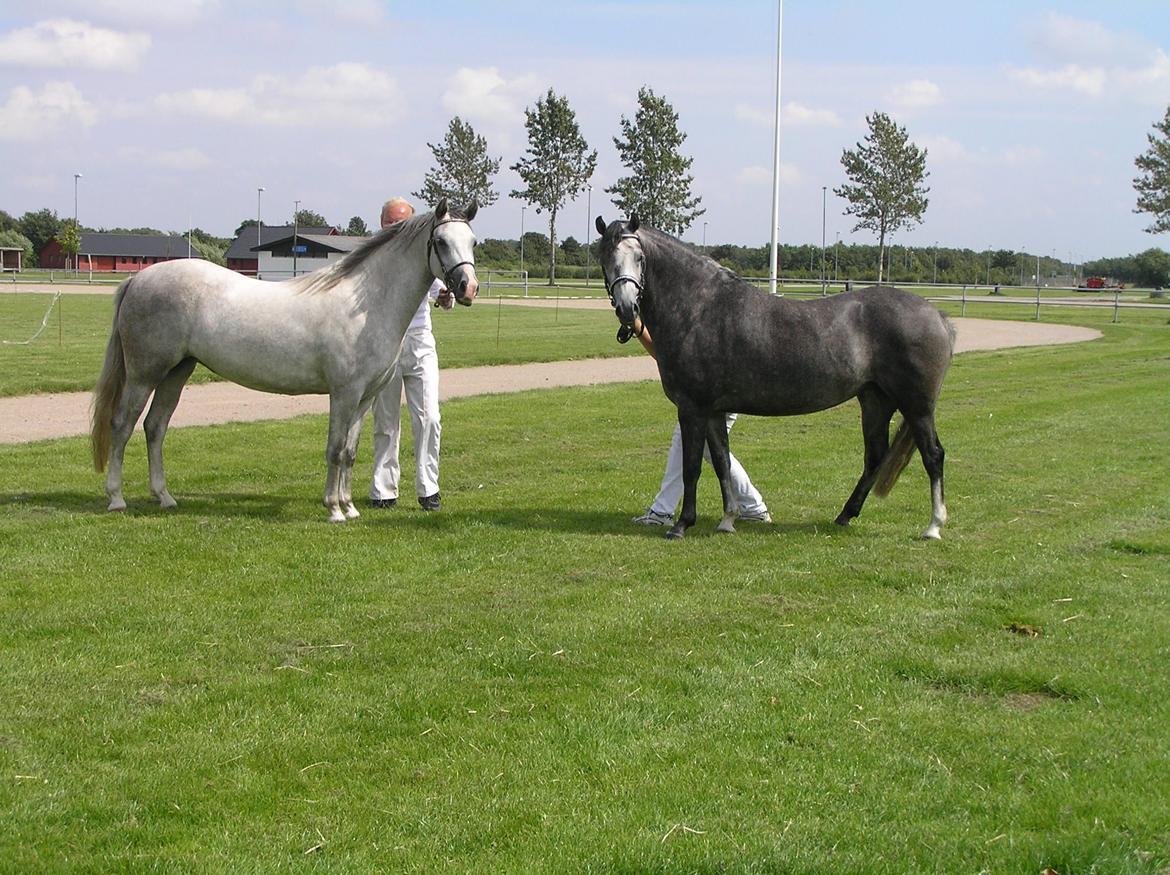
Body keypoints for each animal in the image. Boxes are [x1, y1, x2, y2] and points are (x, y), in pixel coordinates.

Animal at [91, 199, 480, 522]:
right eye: (441, 242)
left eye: (473, 241)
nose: (468, 287)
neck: (365, 303)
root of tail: (138, 279)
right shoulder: (344, 394)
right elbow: (335, 450)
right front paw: (334, 509)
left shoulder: (364, 398)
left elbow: (351, 452)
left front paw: (350, 507)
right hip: (144, 375)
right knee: (122, 425)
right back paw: (116, 499)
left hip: (176, 372)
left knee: (155, 427)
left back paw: (165, 497)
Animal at [596, 214, 954, 541]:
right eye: (605, 258)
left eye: (639, 258)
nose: (627, 309)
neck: (698, 308)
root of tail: (937, 315)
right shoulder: (713, 411)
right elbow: (722, 462)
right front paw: (728, 520)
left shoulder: (692, 408)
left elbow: (692, 467)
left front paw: (682, 525)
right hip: (875, 401)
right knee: (875, 455)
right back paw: (844, 515)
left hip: (917, 407)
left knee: (933, 455)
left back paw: (933, 526)